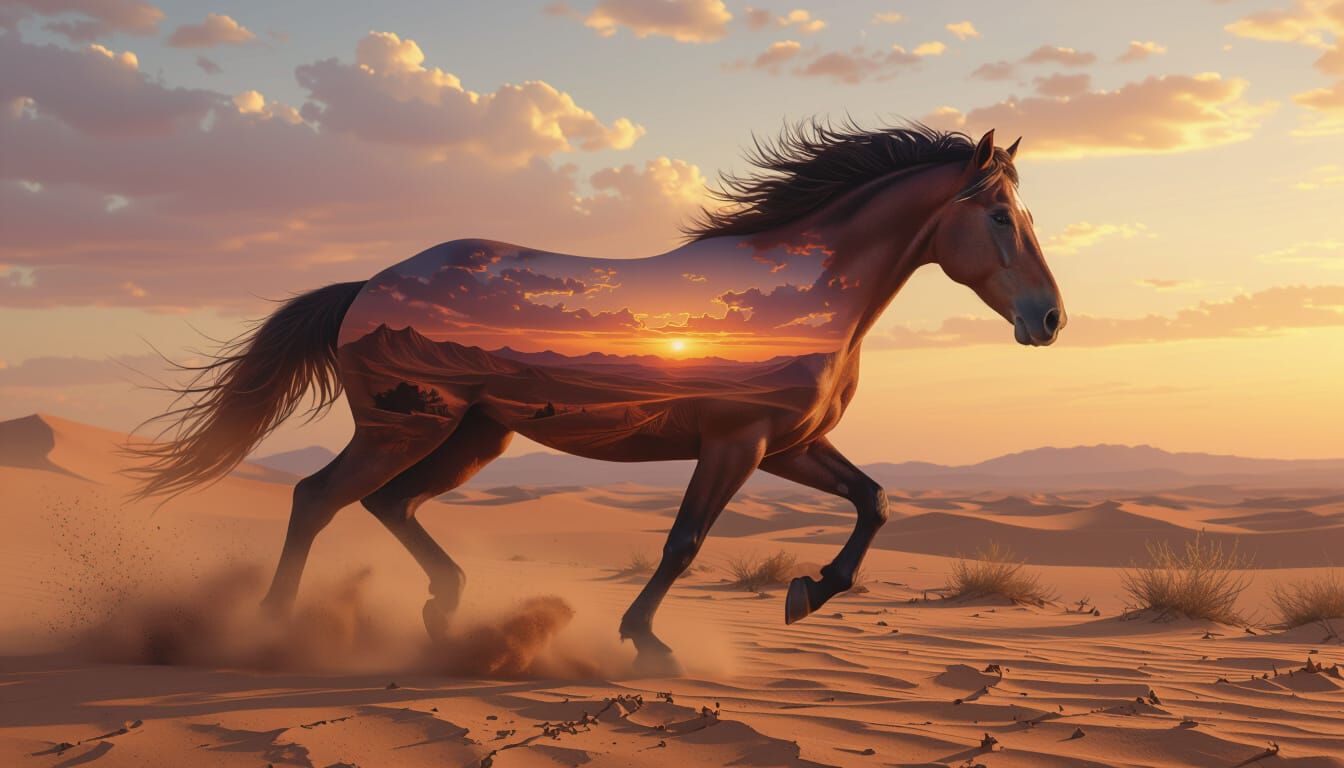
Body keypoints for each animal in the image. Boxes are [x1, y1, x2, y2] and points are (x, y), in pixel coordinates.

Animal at [131, 122, 1065, 670]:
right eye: (1000, 217)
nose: (1049, 319)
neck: (808, 288)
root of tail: (369, 286)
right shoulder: (736, 444)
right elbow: (683, 543)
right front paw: (647, 642)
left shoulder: (790, 446)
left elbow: (875, 502)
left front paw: (807, 594)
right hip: (405, 427)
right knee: (317, 497)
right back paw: (272, 629)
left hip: (474, 438)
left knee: (387, 505)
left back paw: (447, 612)